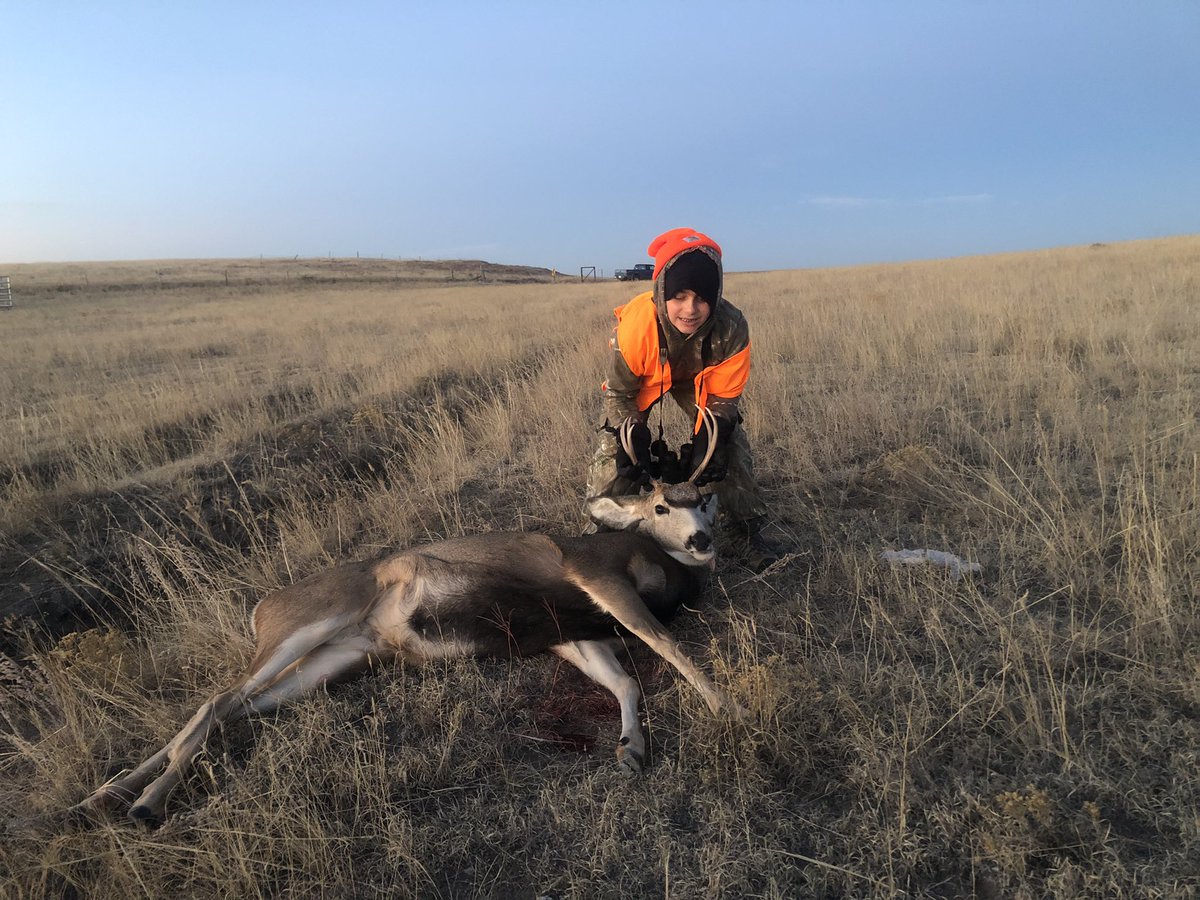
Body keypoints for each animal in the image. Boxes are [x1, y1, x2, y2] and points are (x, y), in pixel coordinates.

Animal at [73, 410, 742, 826]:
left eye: (705, 499)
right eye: (660, 505)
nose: (703, 540)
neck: (666, 569)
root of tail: (261, 608)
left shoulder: (573, 634)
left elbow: (625, 680)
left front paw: (631, 751)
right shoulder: (595, 577)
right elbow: (665, 643)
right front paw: (725, 705)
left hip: (329, 665)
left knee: (233, 706)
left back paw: (106, 795)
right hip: (309, 627)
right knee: (218, 699)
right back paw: (143, 804)